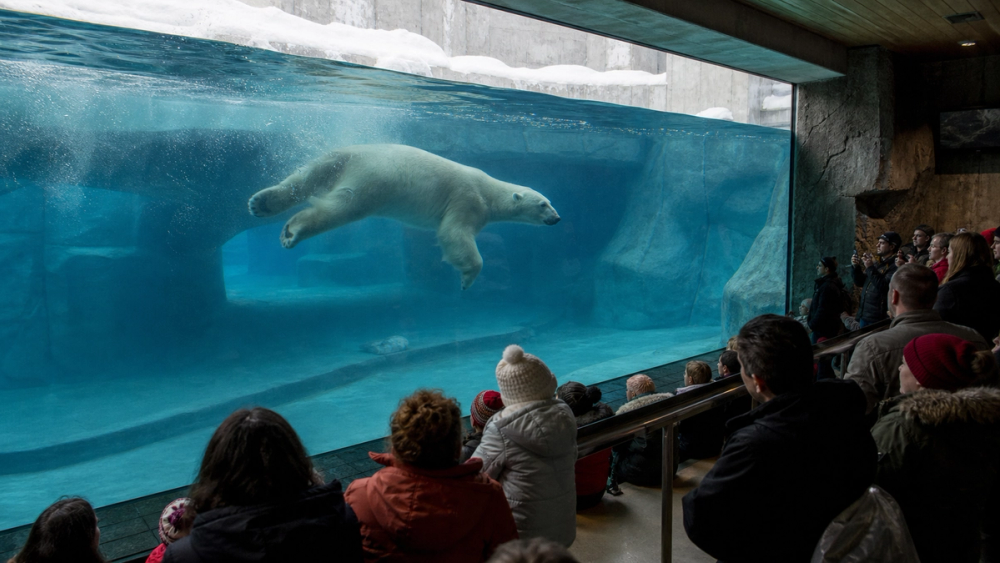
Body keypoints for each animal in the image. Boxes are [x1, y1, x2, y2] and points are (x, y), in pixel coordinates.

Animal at [248, 144, 560, 290]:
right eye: (544, 204)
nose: (557, 218)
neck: (490, 190)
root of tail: (350, 154)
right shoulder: (467, 199)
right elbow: (454, 234)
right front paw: (466, 279)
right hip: (375, 179)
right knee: (342, 207)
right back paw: (292, 231)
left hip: (331, 162)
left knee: (302, 179)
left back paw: (261, 203)